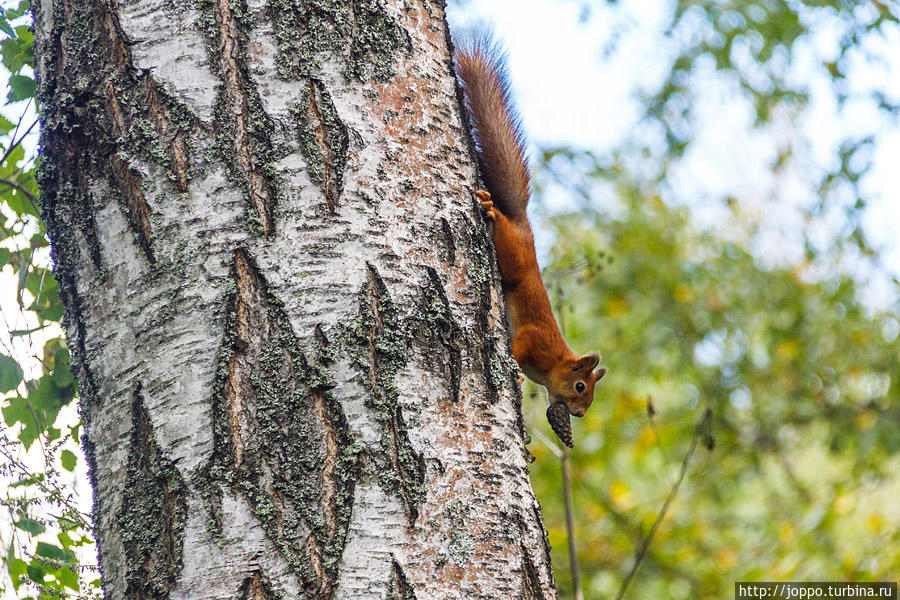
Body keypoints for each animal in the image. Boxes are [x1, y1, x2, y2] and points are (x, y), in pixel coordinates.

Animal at [454, 31, 608, 436]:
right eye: (581, 386)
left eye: (590, 398)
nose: (579, 415)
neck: (556, 361)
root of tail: (523, 225)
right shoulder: (535, 340)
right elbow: (518, 347)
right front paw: (518, 375)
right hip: (512, 255)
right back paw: (491, 209)